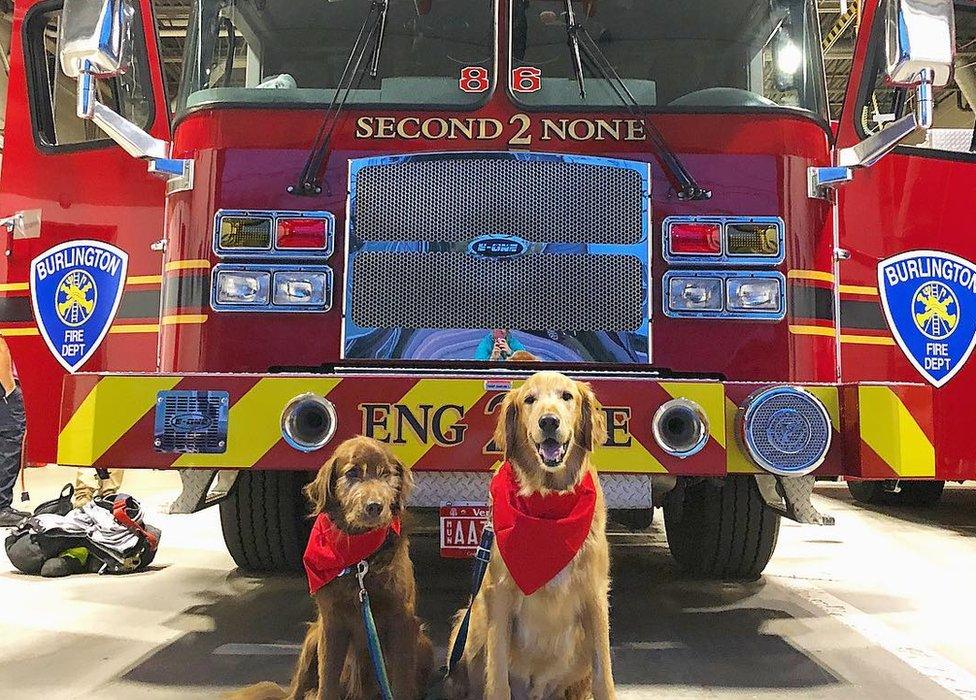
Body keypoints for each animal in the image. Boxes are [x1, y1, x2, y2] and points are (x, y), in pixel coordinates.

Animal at [233, 438, 430, 700]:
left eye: (386, 474)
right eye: (352, 473)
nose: (375, 506)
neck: (360, 559)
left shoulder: (401, 619)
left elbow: (402, 683)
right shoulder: (332, 623)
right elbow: (327, 680)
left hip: (423, 643)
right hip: (313, 638)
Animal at [446, 374, 612, 696]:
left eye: (566, 396)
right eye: (529, 400)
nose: (548, 421)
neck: (547, 500)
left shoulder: (595, 594)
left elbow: (604, 676)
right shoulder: (499, 596)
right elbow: (498, 679)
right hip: (466, 626)